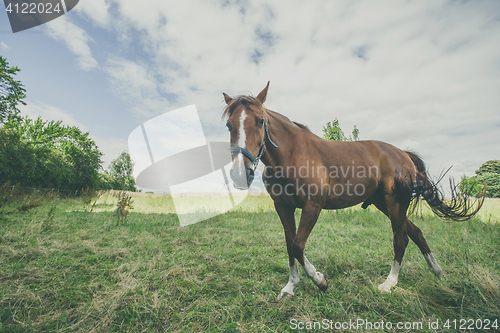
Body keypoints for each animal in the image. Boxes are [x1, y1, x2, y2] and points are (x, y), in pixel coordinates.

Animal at [223, 81, 484, 298]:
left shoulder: (312, 207)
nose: (240, 172)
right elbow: (290, 245)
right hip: (385, 204)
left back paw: (390, 283)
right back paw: (436, 270)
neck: (293, 154)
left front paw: (320, 280)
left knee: (400, 239)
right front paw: (290, 286)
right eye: (228, 125)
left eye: (261, 121)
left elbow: (298, 246)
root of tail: (402, 154)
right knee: (416, 232)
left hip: (395, 203)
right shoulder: (283, 207)